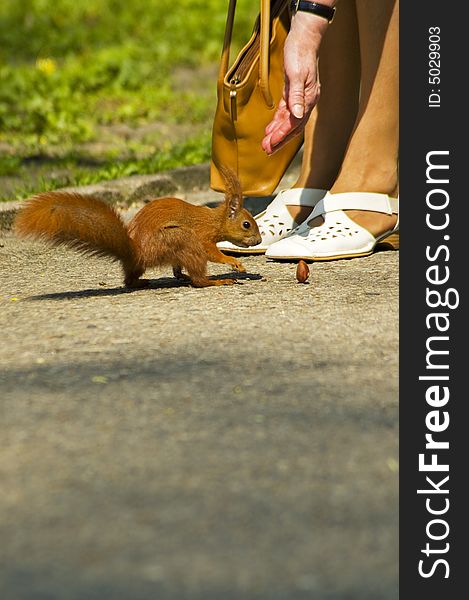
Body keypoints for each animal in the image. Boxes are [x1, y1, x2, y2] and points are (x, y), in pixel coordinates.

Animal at [14, 166, 262, 288]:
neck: (214, 220)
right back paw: (216, 281)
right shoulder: (202, 235)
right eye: (246, 224)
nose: (258, 241)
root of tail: (137, 252)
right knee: (199, 281)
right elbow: (212, 252)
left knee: (131, 280)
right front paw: (234, 263)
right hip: (180, 238)